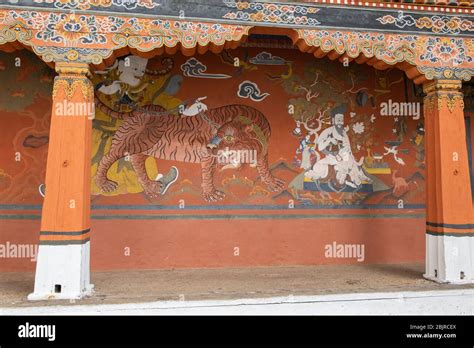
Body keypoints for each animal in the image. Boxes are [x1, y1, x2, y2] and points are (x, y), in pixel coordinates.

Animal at [94, 96, 284, 203]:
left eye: (228, 137)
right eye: (216, 133)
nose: (210, 146)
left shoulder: (262, 152)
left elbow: (262, 168)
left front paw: (272, 182)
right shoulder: (208, 157)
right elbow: (207, 175)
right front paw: (211, 194)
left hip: (144, 147)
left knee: (136, 161)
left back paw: (150, 187)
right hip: (139, 140)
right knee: (108, 157)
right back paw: (103, 183)